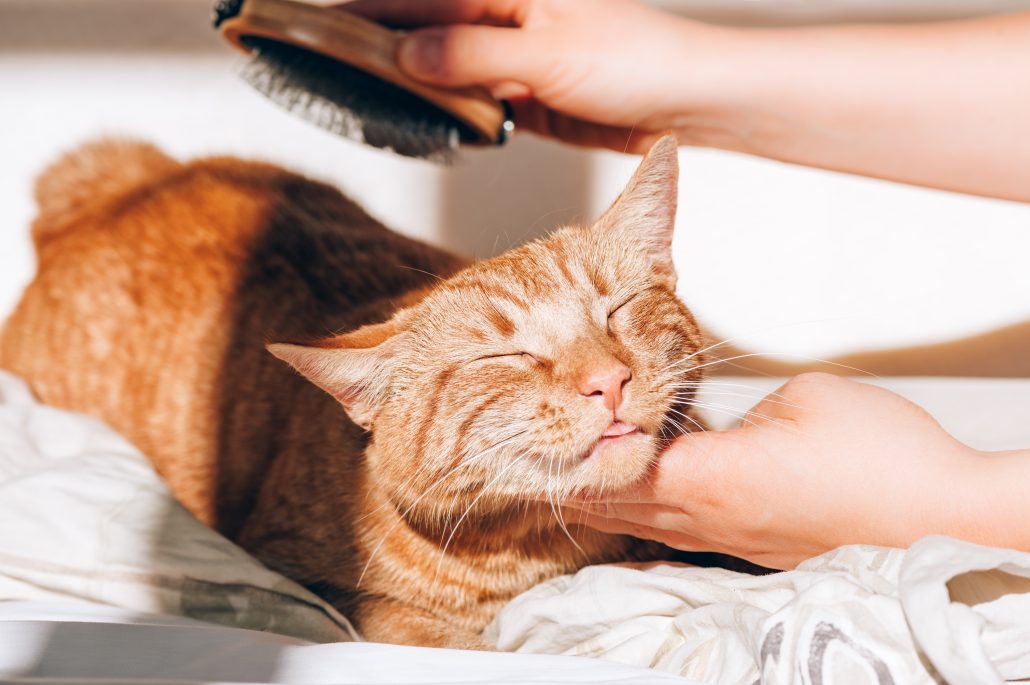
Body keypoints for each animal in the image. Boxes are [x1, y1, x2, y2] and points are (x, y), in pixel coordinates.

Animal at [0, 135, 708, 651]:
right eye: (507, 356)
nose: (606, 381)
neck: (532, 553)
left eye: (618, 310)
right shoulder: (303, 580)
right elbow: (423, 632)